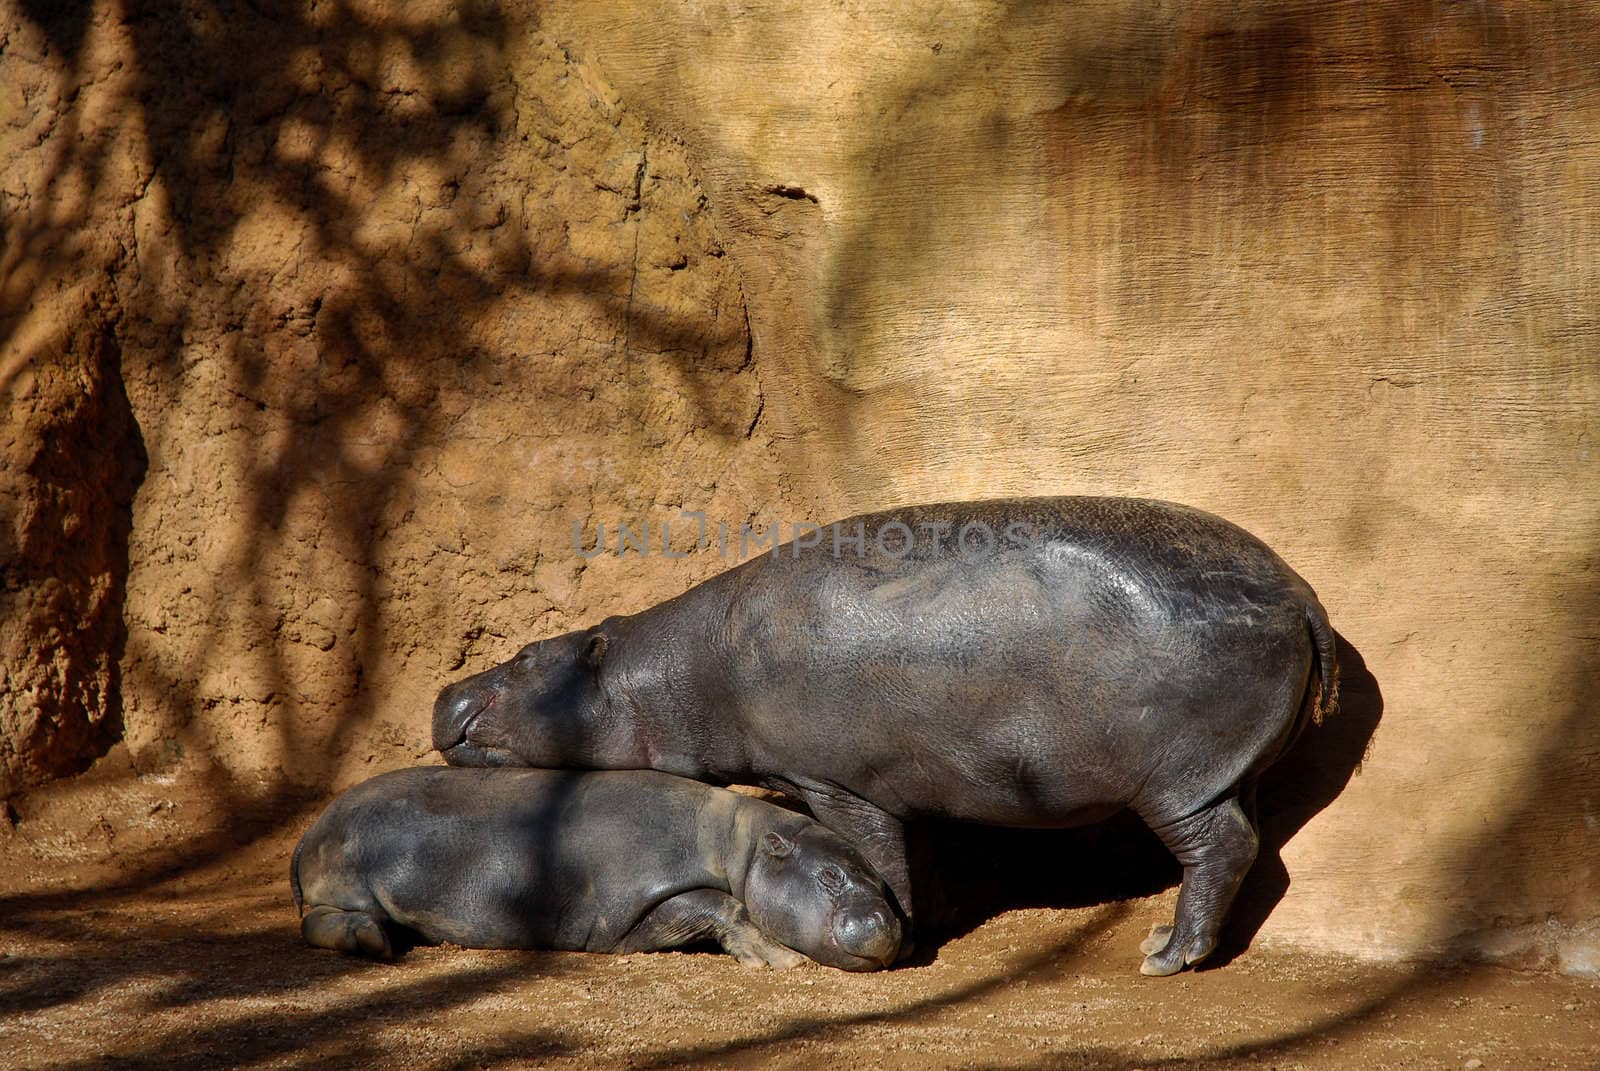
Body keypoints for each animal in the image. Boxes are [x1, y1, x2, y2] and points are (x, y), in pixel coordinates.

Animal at [291, 765, 902, 966]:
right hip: (347, 877)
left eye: (879, 878)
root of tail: (311, 831)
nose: (886, 924)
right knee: (317, 919)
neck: (742, 846)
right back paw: (372, 942)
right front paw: (781, 961)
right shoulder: (639, 894)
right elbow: (723, 904)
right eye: (829, 876)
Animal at [435, 496, 1337, 973]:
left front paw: (899, 934)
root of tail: (1301, 591)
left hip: (1179, 779)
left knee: (1219, 847)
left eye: (525, 654)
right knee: (1246, 838)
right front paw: (931, 916)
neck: (665, 671)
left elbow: (877, 853)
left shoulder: (836, 781)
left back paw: (1165, 954)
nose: (445, 692)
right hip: (1232, 767)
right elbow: (917, 854)